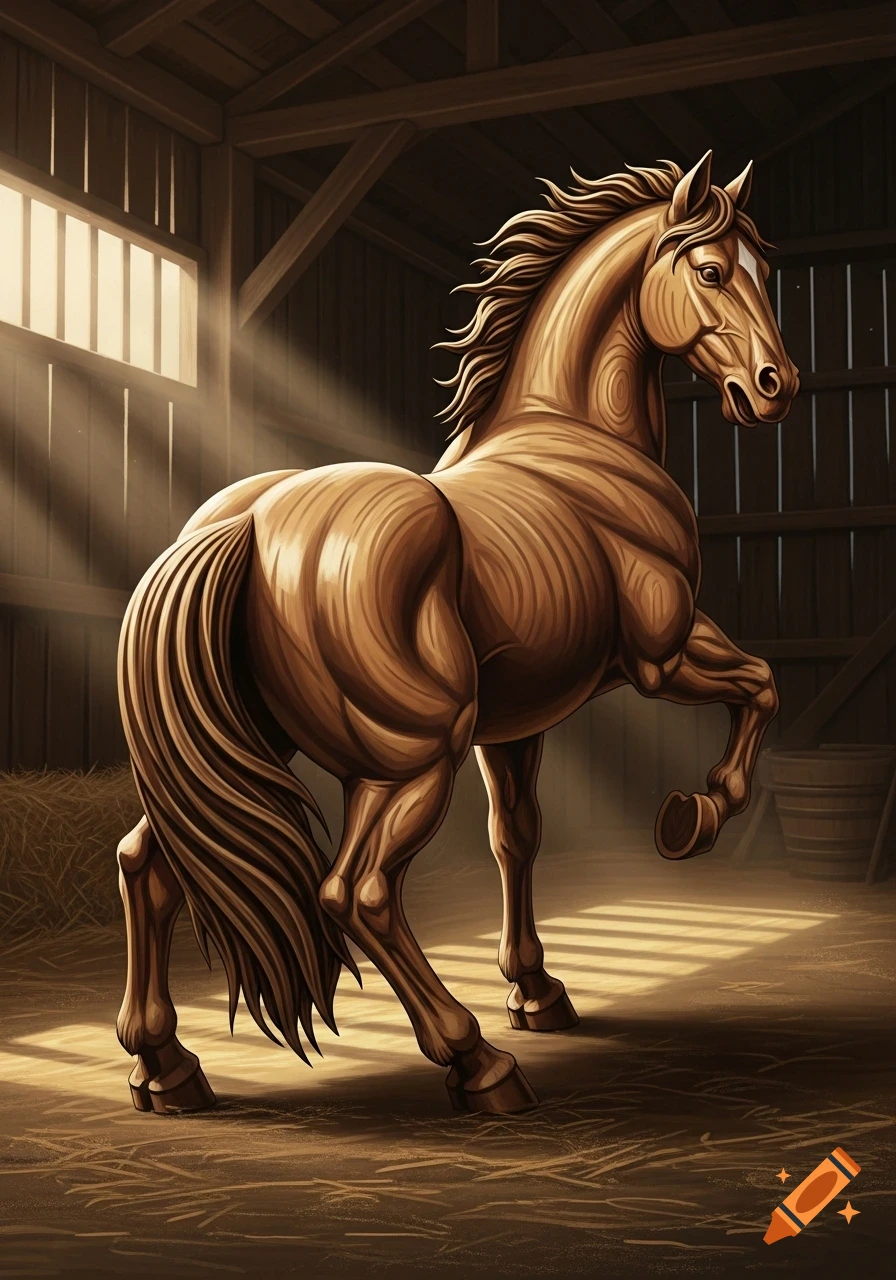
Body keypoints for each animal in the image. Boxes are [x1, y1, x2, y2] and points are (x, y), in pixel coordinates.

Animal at [115, 151, 799, 1118]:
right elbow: (762, 687)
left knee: (149, 861)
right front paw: (690, 818)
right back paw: (476, 1063)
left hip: (259, 748)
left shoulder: (513, 728)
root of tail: (248, 521)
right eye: (709, 271)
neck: (576, 438)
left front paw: (538, 992)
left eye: (762, 273)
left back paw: (165, 1066)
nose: (778, 387)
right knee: (355, 892)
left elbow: (517, 836)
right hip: (410, 757)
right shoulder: (663, 659)